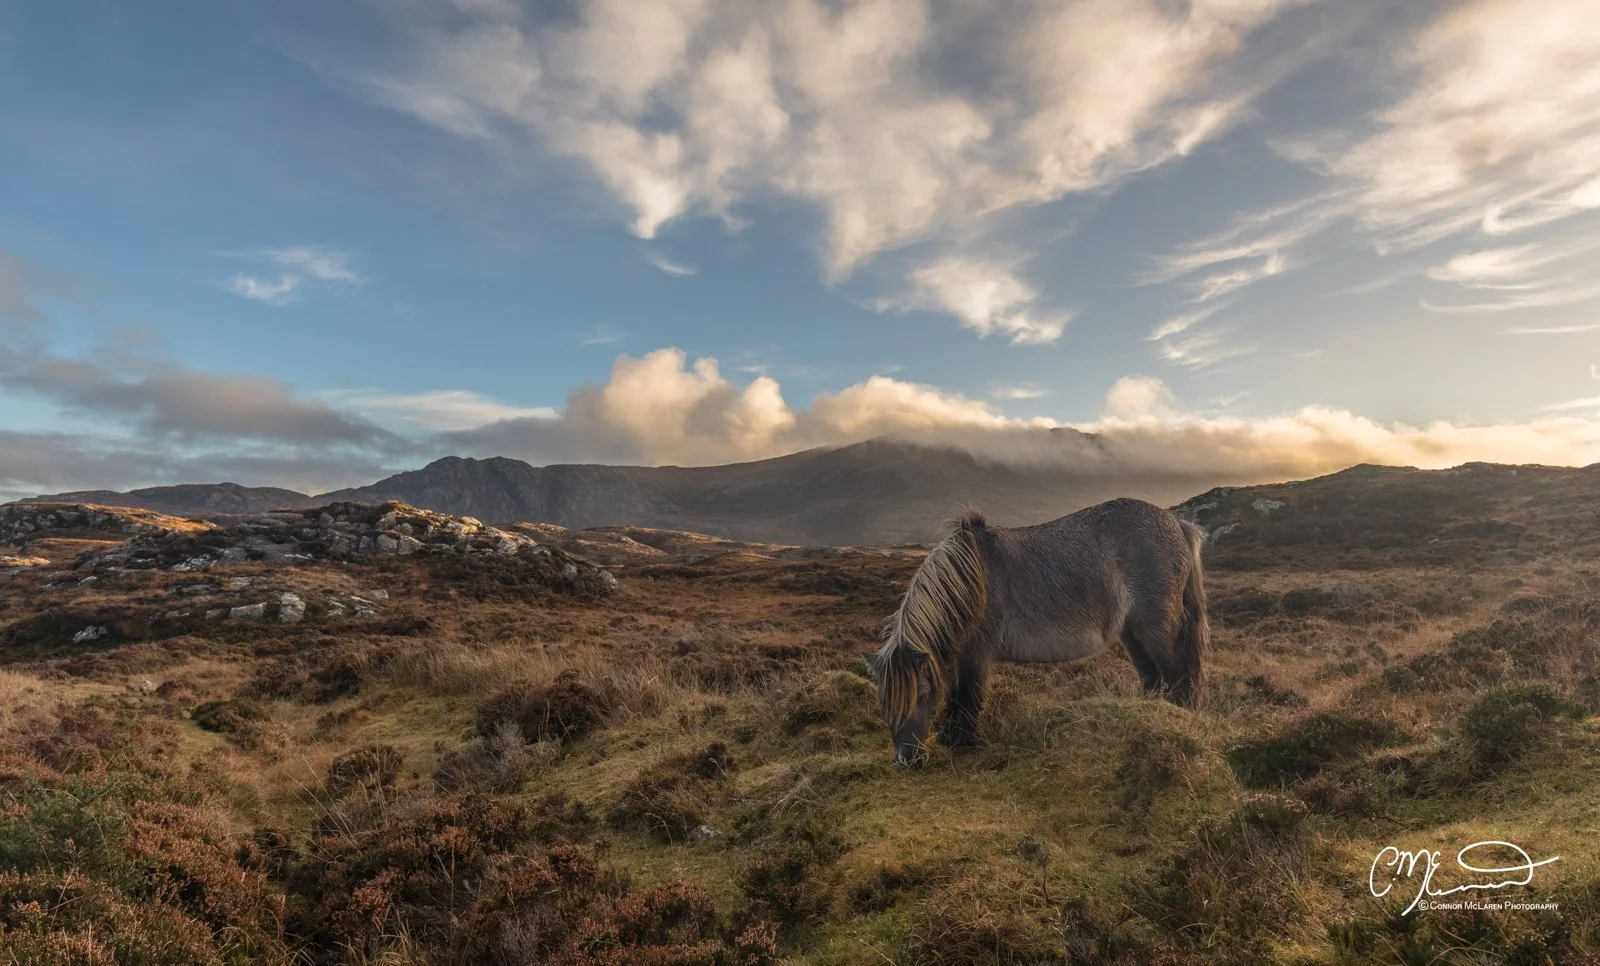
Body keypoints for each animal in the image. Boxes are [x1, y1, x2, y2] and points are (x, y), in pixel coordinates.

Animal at [862, 498, 1208, 766]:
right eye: (883, 700)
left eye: (921, 696)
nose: (907, 760)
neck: (971, 582)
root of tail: (1178, 524)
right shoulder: (961, 656)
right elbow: (956, 696)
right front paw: (949, 737)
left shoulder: (977, 656)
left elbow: (968, 696)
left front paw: (965, 743)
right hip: (1132, 633)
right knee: (1152, 677)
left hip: (1156, 628)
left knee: (1177, 675)